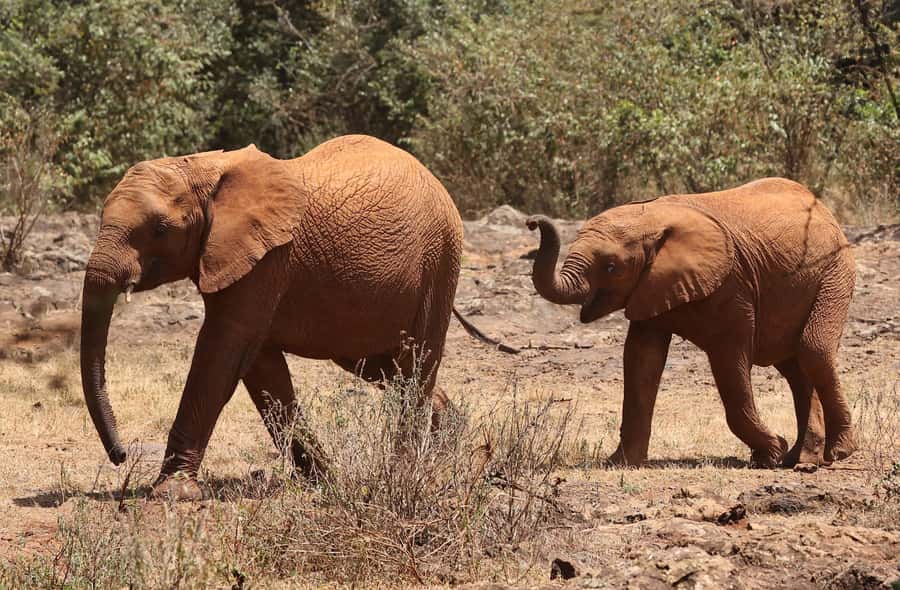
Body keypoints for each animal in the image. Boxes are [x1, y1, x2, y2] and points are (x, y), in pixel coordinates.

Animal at [81, 135, 468, 500]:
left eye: (160, 230)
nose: (121, 456)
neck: (203, 167)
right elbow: (261, 368)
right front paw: (326, 482)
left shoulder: (267, 258)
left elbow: (221, 351)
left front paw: (172, 493)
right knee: (383, 366)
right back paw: (447, 441)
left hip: (440, 261)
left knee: (417, 363)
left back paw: (404, 475)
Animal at [526, 178, 856, 468]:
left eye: (610, 267)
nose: (532, 222)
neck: (653, 217)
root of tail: (823, 207)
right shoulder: (651, 286)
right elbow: (641, 360)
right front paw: (619, 464)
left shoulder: (732, 285)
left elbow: (730, 360)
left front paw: (770, 453)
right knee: (795, 368)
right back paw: (802, 459)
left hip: (834, 272)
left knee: (812, 351)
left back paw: (837, 452)